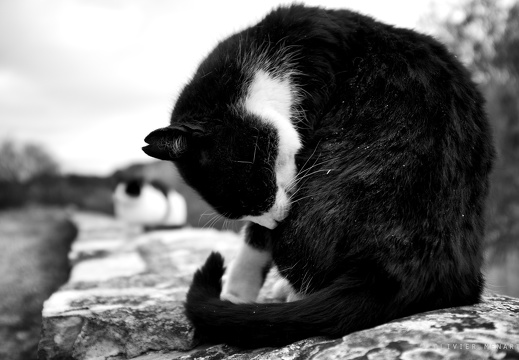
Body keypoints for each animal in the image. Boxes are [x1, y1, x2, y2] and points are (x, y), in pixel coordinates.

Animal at [141, 4, 496, 348]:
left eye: (258, 187)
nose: (278, 220)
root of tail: (397, 274)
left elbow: (257, 237)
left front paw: (238, 289)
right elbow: (255, 235)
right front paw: (236, 293)